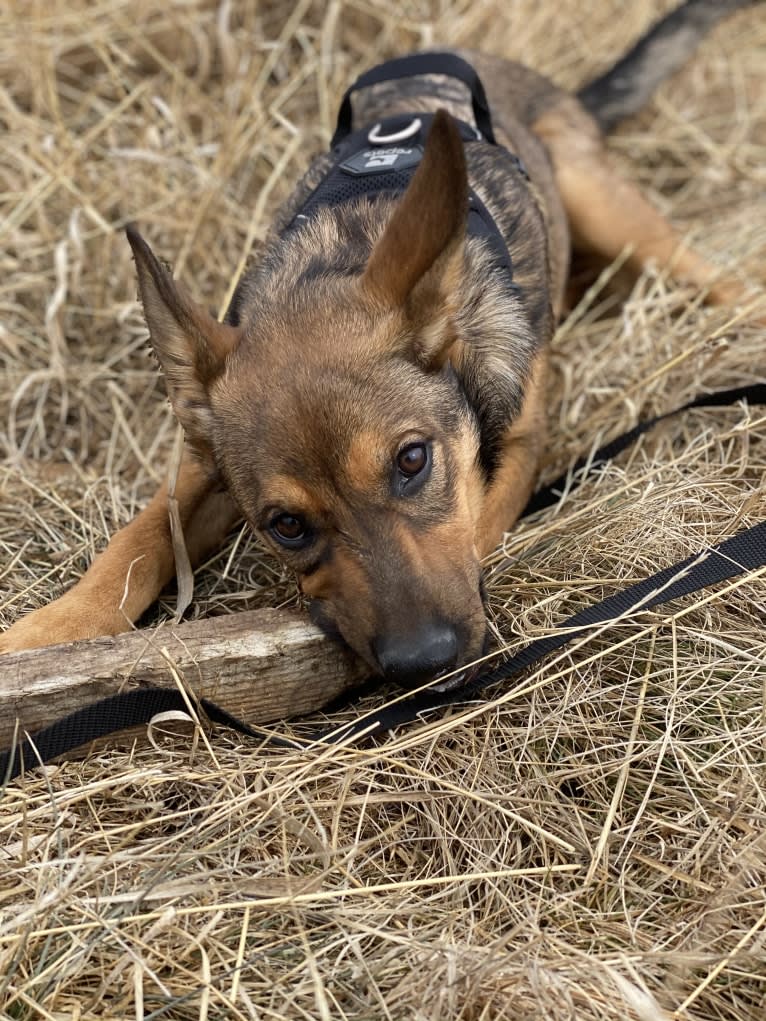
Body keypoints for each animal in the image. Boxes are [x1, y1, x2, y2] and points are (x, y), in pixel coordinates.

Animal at [0, 0, 755, 690]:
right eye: (286, 524)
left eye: (413, 461)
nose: (422, 664)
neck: (337, 262)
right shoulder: (204, 462)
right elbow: (144, 533)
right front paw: (53, 630)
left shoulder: (522, 438)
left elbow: (477, 521)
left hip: (602, 200)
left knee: (714, 275)